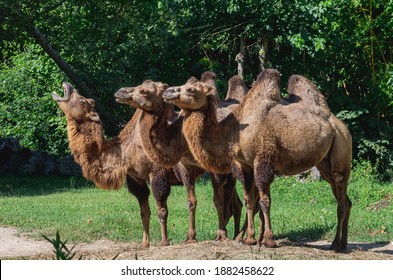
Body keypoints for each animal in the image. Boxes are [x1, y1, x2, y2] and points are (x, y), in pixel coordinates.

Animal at [51, 81, 202, 247]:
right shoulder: (136, 179)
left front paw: (164, 241)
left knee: (191, 199)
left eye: (82, 100)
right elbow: (144, 212)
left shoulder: (158, 173)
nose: (68, 84)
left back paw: (191, 237)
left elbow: (161, 211)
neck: (126, 151)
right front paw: (144, 243)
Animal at [115, 71, 247, 238]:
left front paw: (221, 234)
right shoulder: (184, 167)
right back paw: (238, 235)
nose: (120, 91)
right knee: (237, 204)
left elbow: (218, 200)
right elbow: (191, 201)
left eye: (144, 91)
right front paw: (190, 236)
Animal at [162, 68, 352, 252]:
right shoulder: (245, 166)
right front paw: (250, 239)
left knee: (341, 198)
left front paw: (268, 240)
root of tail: (340, 125)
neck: (234, 133)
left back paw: (336, 244)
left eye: (191, 89)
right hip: (324, 164)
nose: (168, 91)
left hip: (341, 151)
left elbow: (264, 202)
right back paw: (342, 242)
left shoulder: (262, 161)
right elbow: (250, 201)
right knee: (345, 199)